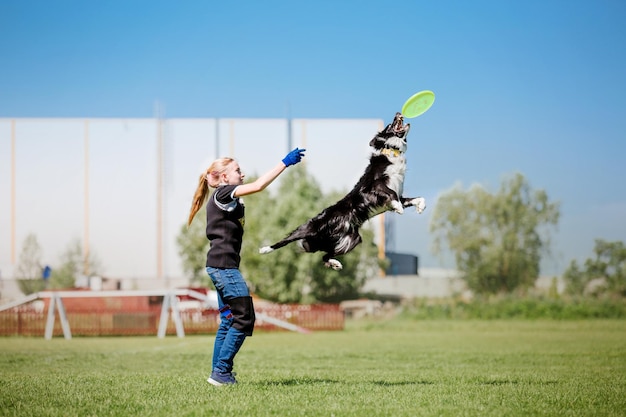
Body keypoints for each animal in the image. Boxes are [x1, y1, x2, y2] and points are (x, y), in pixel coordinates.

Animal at [258, 112, 424, 270]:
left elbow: (416, 198)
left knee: (325, 256)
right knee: (287, 239)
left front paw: (420, 207)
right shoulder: (371, 188)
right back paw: (265, 249)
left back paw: (335, 264)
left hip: (352, 240)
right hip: (309, 227)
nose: (397, 113)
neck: (392, 151)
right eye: (390, 124)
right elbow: (391, 194)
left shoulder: (398, 194)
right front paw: (399, 208)